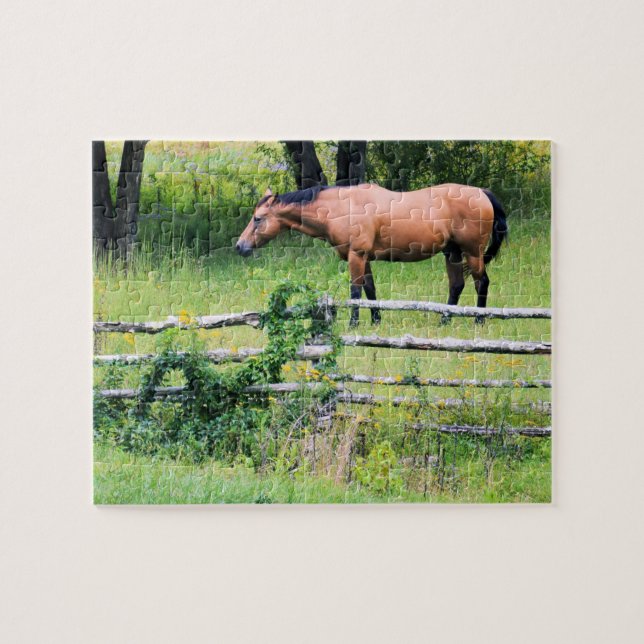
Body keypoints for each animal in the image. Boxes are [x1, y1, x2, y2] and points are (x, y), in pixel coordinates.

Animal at [236, 183, 508, 325]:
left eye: (258, 218)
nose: (240, 246)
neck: (342, 207)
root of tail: (482, 193)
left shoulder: (356, 255)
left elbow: (356, 291)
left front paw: (353, 324)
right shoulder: (363, 257)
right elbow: (370, 289)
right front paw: (376, 320)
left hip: (472, 253)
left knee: (481, 282)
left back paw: (479, 321)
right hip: (452, 253)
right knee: (457, 285)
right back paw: (444, 321)